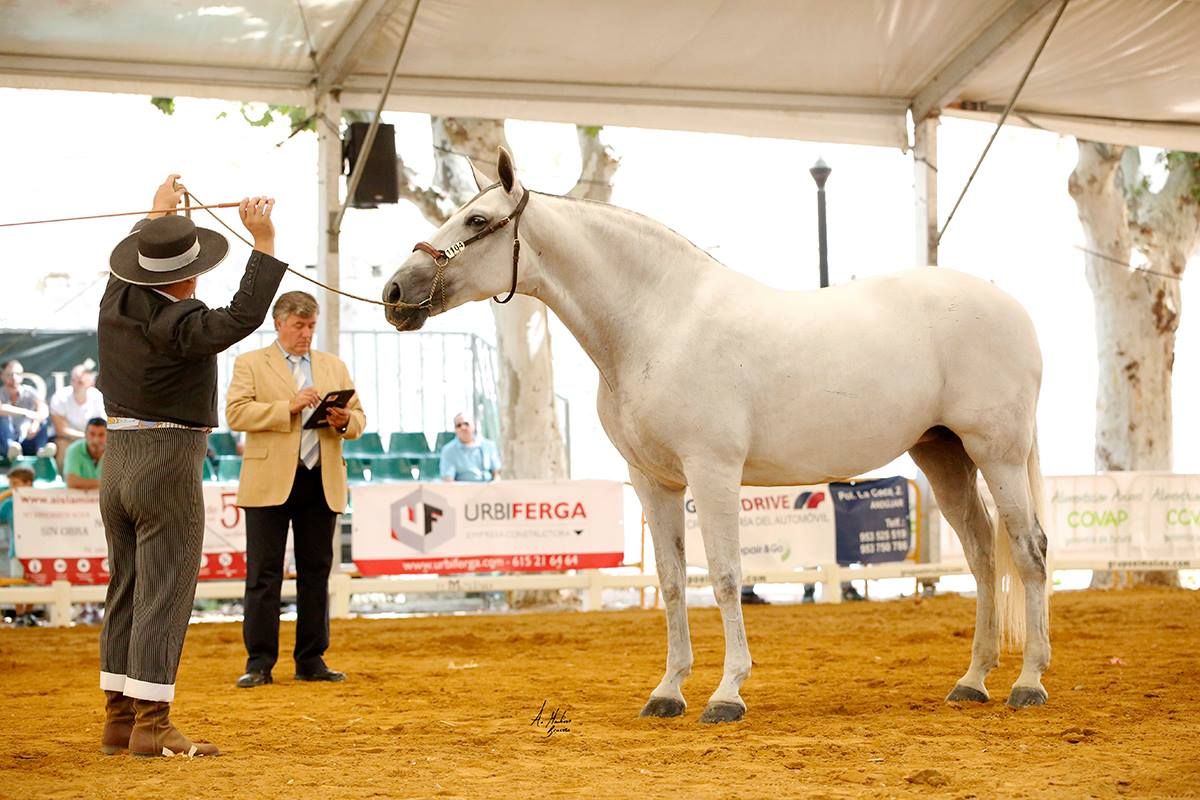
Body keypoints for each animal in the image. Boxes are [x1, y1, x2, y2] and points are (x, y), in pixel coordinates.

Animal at [384, 146, 1051, 724]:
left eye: (476, 219)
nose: (395, 293)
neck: (658, 322)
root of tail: (1012, 309)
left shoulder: (713, 471)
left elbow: (727, 576)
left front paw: (727, 693)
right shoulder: (652, 480)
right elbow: (674, 580)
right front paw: (668, 690)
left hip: (997, 453)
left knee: (1029, 551)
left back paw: (1028, 682)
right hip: (942, 454)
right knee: (983, 555)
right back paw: (972, 681)